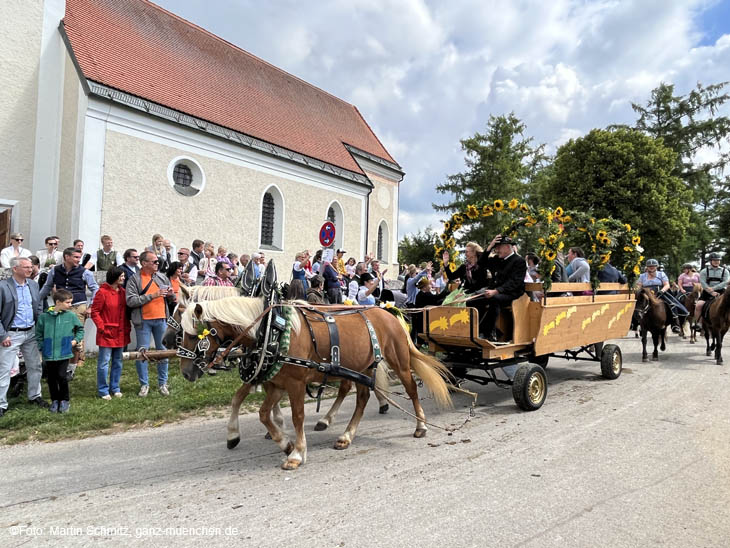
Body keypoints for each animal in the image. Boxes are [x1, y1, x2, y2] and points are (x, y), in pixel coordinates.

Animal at [176, 296, 450, 470]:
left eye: (195, 335)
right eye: (181, 333)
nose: (186, 373)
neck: (272, 331)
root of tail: (390, 313)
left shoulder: (295, 383)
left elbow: (297, 416)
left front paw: (296, 453)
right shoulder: (276, 382)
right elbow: (262, 413)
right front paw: (284, 443)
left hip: (399, 361)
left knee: (411, 389)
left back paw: (421, 425)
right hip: (361, 367)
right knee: (361, 398)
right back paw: (346, 435)